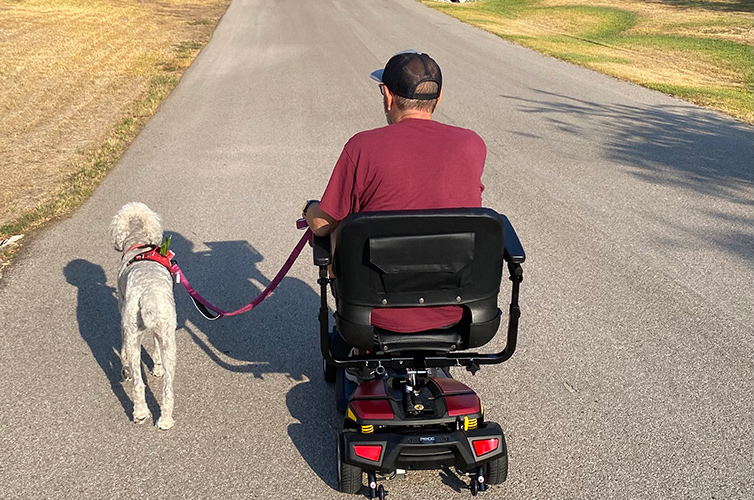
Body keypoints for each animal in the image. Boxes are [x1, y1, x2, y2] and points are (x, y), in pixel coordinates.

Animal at [109, 203, 177, 430]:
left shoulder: (123, 315)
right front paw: (157, 369)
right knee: (167, 390)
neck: (137, 243)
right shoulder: (159, 331)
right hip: (168, 338)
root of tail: (149, 294)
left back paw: (139, 412)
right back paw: (164, 420)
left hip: (132, 332)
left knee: (138, 382)